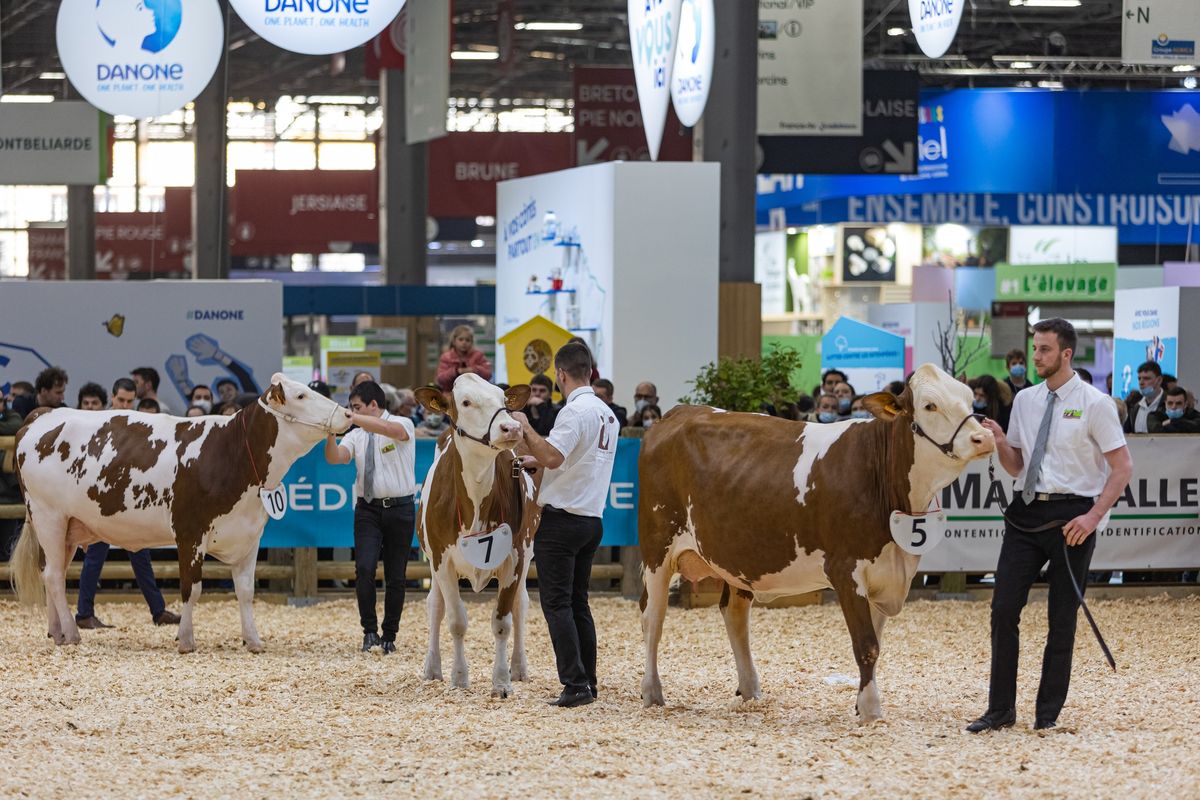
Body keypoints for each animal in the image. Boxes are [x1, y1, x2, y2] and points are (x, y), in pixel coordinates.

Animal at [12, 374, 350, 652]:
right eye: (301, 395)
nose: (347, 413)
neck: (234, 451)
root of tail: (43, 414)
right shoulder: (190, 531)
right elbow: (192, 587)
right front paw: (186, 639)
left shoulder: (250, 534)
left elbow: (246, 591)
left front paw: (252, 640)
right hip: (49, 517)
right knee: (54, 576)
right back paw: (71, 633)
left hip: (69, 527)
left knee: (50, 572)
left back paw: (56, 631)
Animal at [415, 379, 542, 695]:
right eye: (466, 402)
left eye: (503, 399)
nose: (512, 427)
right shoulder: (441, 561)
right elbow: (456, 621)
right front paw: (459, 678)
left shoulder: (514, 559)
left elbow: (502, 622)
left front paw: (502, 681)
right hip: (431, 563)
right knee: (434, 606)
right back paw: (432, 668)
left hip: (529, 552)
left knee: (521, 605)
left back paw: (519, 667)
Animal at [638, 367, 993, 724]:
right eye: (930, 405)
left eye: (968, 398)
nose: (985, 438)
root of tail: (677, 413)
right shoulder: (846, 570)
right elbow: (866, 645)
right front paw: (870, 711)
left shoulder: (886, 573)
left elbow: (876, 643)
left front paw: (862, 703)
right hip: (657, 548)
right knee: (653, 615)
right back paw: (652, 692)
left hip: (738, 555)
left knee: (734, 613)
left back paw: (750, 691)